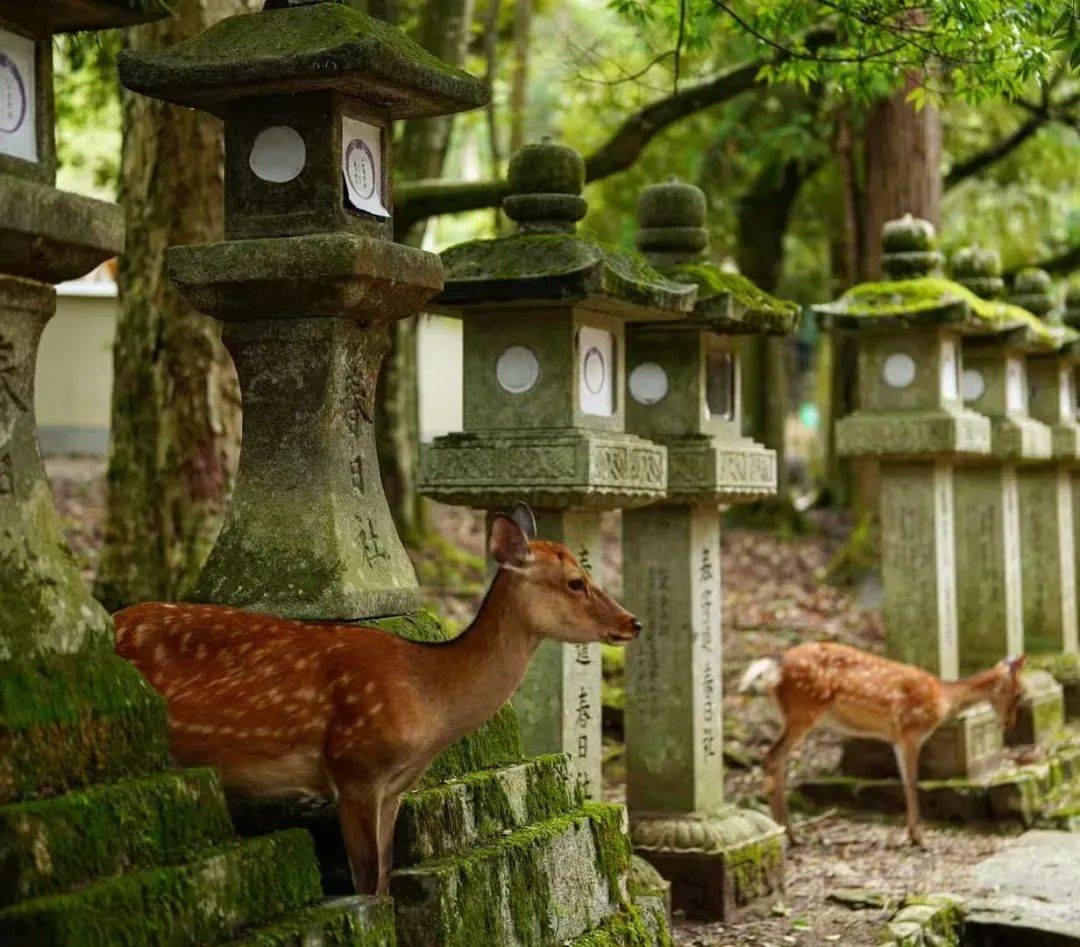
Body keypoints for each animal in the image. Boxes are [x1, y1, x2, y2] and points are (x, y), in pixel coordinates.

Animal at [116, 503, 639, 894]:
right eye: (575, 581)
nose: (632, 622)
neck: (428, 698)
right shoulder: (354, 768)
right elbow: (367, 887)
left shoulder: (394, 788)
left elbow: (386, 881)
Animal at [738, 639, 1023, 846]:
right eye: (1019, 692)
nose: (1010, 722)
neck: (944, 699)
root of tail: (775, 666)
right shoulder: (910, 731)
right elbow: (912, 781)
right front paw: (917, 837)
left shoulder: (896, 737)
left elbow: (904, 780)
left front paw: (912, 833)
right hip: (804, 709)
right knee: (772, 757)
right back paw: (789, 834)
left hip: (790, 715)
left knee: (777, 760)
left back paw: (787, 832)